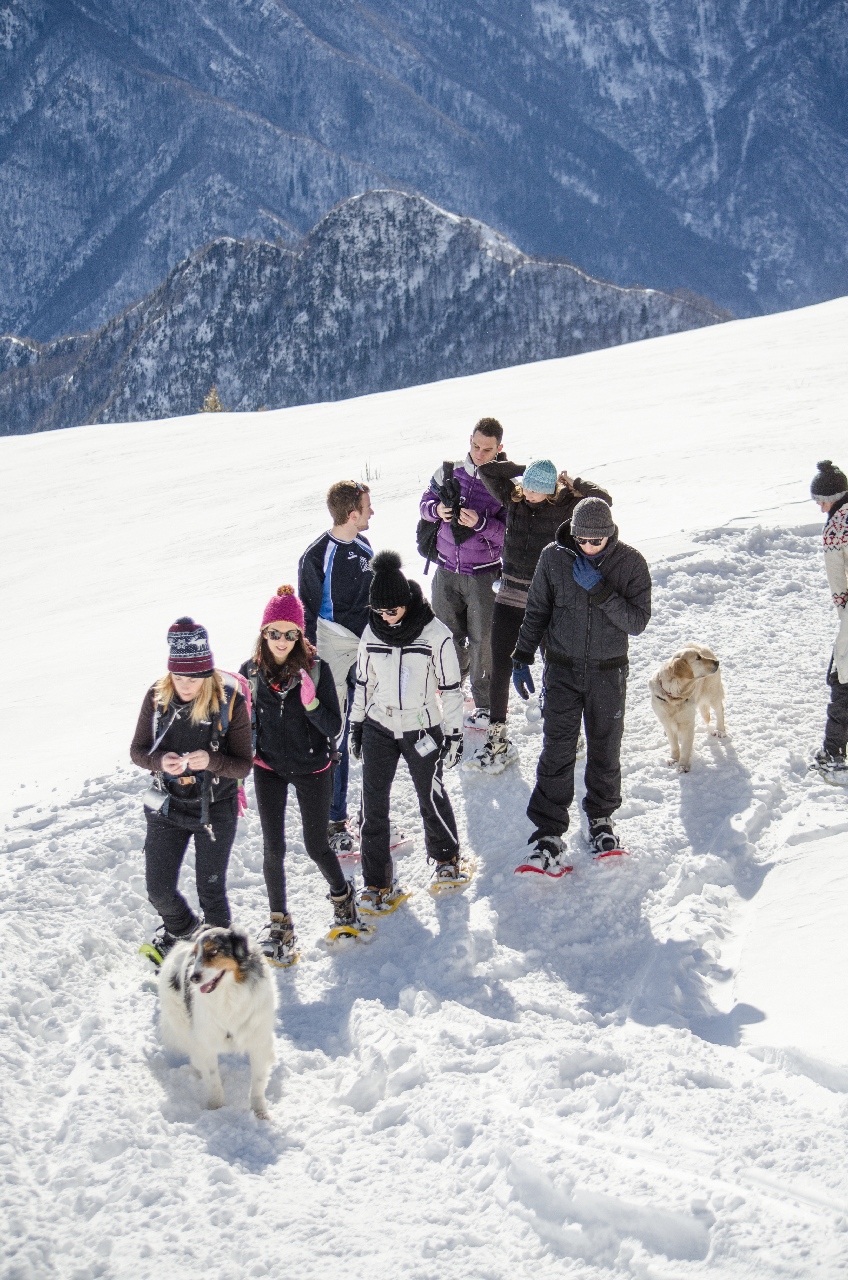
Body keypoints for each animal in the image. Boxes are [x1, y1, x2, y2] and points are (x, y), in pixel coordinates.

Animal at [158, 926, 277, 1118]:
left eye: (213, 951)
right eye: (196, 955)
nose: (193, 978)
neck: (228, 994)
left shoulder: (259, 1042)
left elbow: (258, 1082)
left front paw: (260, 1113)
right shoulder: (206, 1043)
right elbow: (213, 1079)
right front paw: (216, 1109)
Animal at [648, 644, 726, 772]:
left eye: (700, 656)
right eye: (698, 658)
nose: (717, 662)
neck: (674, 696)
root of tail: (701, 645)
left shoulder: (688, 723)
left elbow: (685, 747)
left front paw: (683, 766)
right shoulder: (666, 721)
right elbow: (674, 744)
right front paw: (674, 759)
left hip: (712, 693)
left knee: (720, 710)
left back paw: (720, 730)